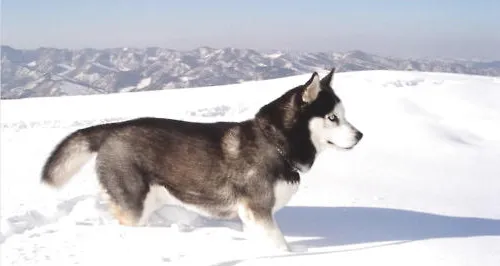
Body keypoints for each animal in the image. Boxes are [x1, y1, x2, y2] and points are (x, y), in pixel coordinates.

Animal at [41, 67, 364, 250]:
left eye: (344, 115)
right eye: (332, 117)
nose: (360, 135)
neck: (276, 144)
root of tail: (113, 129)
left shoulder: (251, 217)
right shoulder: (257, 211)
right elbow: (281, 247)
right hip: (134, 203)